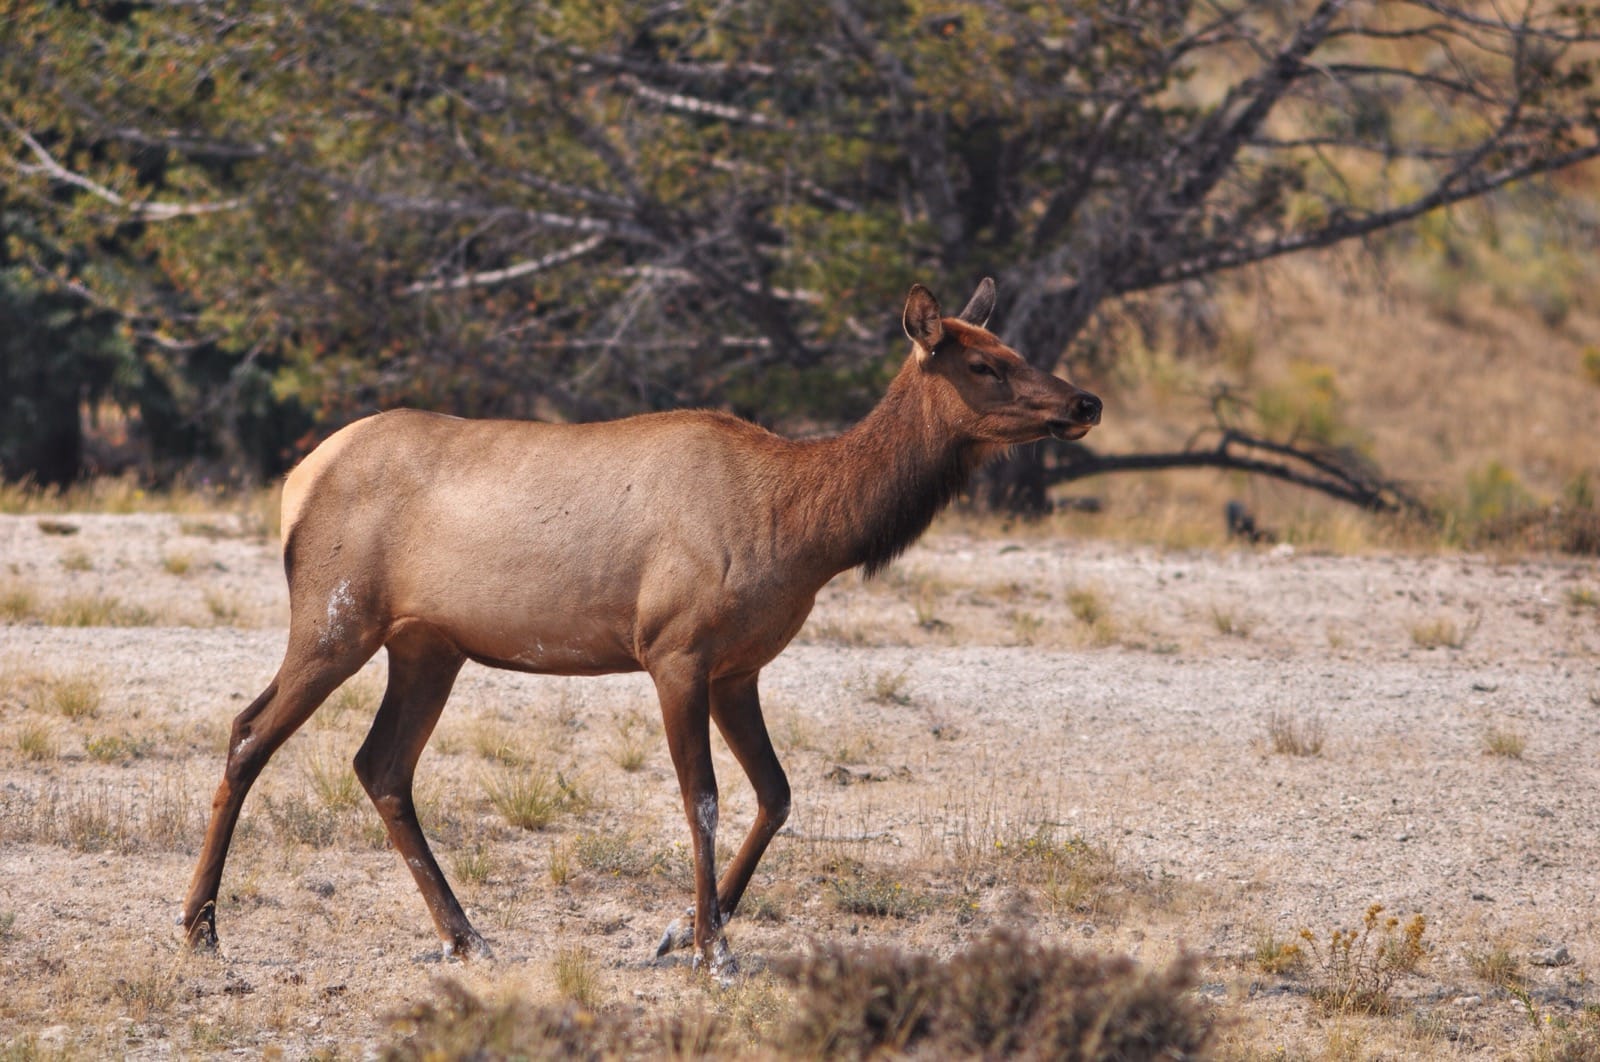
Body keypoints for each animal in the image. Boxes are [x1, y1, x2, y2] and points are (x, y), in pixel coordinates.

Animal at [177, 279, 1102, 976]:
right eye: (985, 362)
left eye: (1015, 348)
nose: (1085, 399)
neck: (806, 530)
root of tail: (295, 482)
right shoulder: (675, 650)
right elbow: (703, 799)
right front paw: (710, 949)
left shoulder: (739, 666)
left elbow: (777, 794)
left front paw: (679, 931)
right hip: (335, 617)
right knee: (250, 731)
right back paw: (201, 927)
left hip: (425, 646)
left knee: (381, 765)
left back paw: (465, 936)